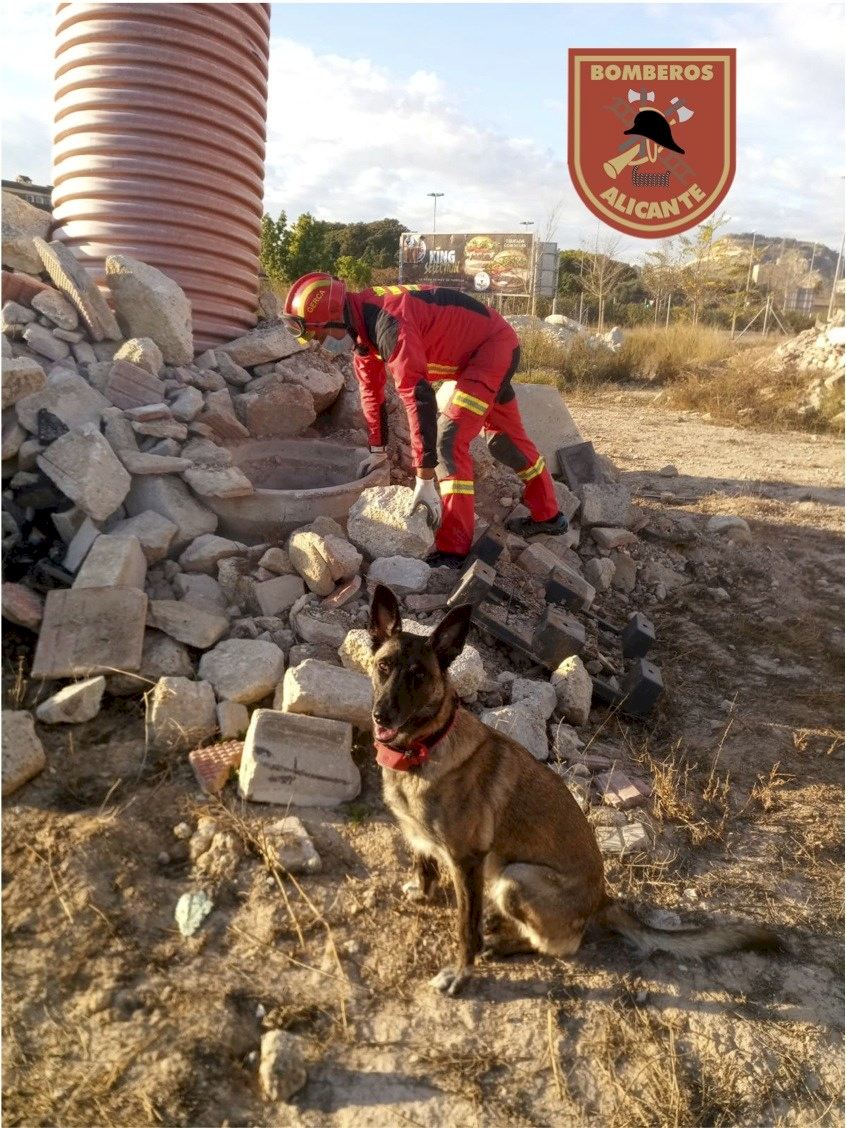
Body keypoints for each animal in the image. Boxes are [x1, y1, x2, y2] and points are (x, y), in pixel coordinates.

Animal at [369, 583, 780, 996]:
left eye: (419, 676)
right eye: (383, 667)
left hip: (514, 877)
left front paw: (461, 971)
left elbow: (465, 928)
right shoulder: (421, 838)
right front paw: (422, 892)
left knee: (561, 944)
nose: (380, 715)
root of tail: (601, 899)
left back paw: (501, 944)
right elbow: (424, 866)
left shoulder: (466, 861)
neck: (426, 746)